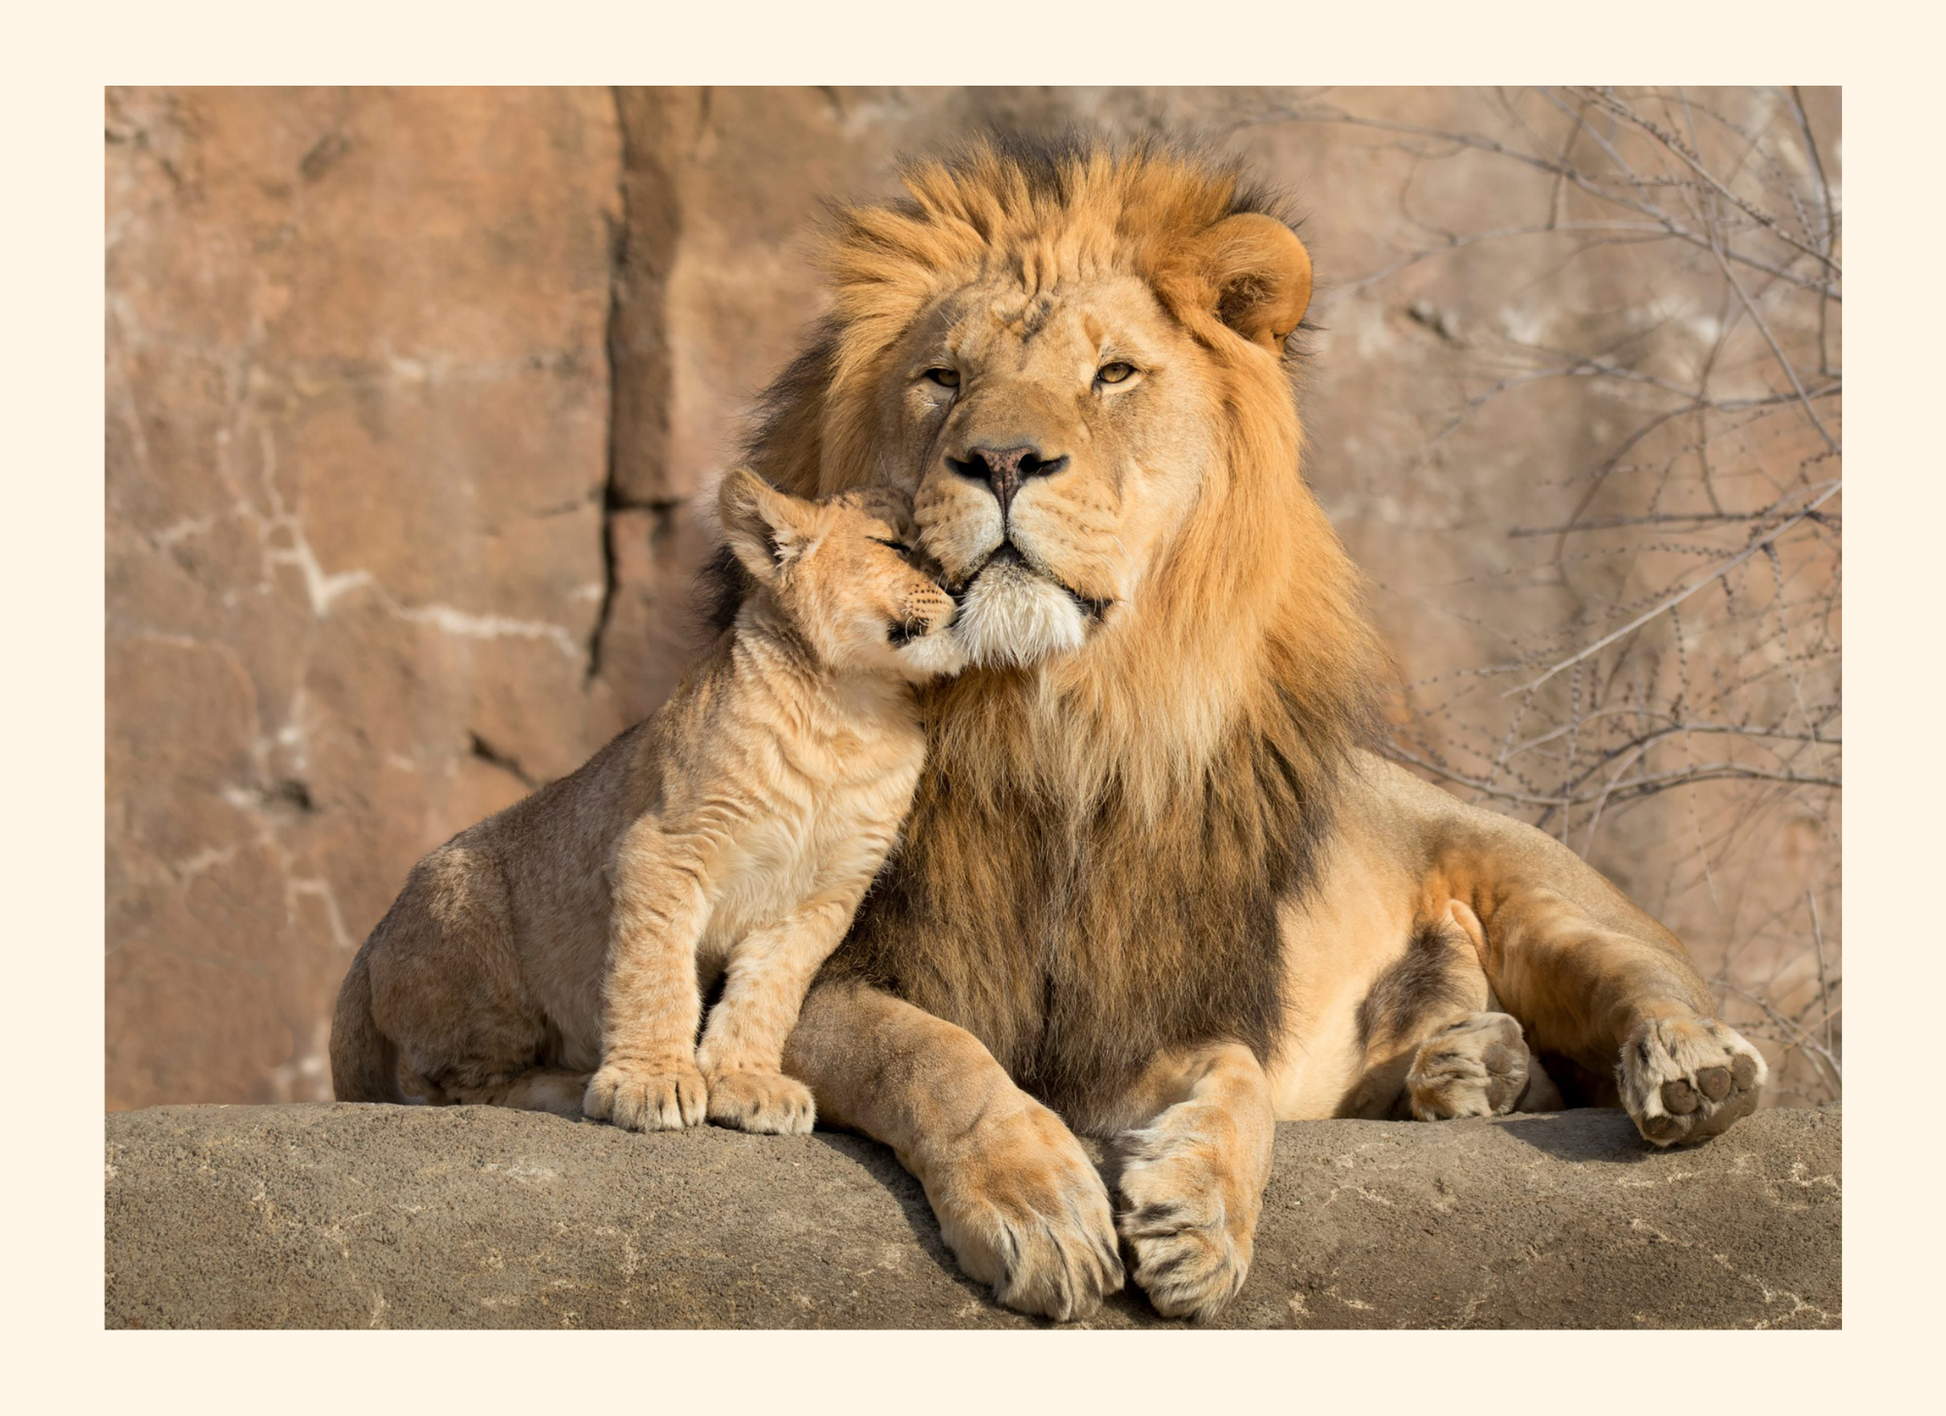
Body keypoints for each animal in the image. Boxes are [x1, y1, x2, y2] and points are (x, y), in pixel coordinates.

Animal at [329, 476, 963, 1135]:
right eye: (893, 545)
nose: (962, 588)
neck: (850, 713)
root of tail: (372, 937)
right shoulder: (665, 847)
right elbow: (655, 974)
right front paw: (651, 1082)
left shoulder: (823, 898)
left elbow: (768, 993)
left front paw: (748, 1082)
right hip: (477, 932)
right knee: (455, 1088)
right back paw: (568, 1085)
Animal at [718, 136, 1769, 1323]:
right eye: (942, 378)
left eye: (1112, 375)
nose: (1001, 461)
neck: (1052, 724)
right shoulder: (806, 974)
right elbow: (931, 1053)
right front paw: (1041, 1206)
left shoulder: (1148, 1005)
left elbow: (1236, 1076)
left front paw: (1200, 1220)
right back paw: (1466, 1068)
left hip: (1537, 892)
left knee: (1644, 982)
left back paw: (1685, 1068)